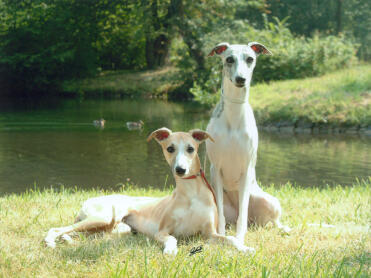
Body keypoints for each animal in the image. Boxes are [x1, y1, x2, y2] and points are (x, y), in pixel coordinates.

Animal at [206, 41, 290, 248]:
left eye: (250, 59)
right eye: (229, 59)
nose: (241, 79)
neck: (234, 115)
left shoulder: (246, 169)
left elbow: (242, 218)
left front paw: (239, 240)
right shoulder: (216, 169)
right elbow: (220, 216)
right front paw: (224, 239)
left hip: (269, 201)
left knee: (270, 221)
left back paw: (283, 228)